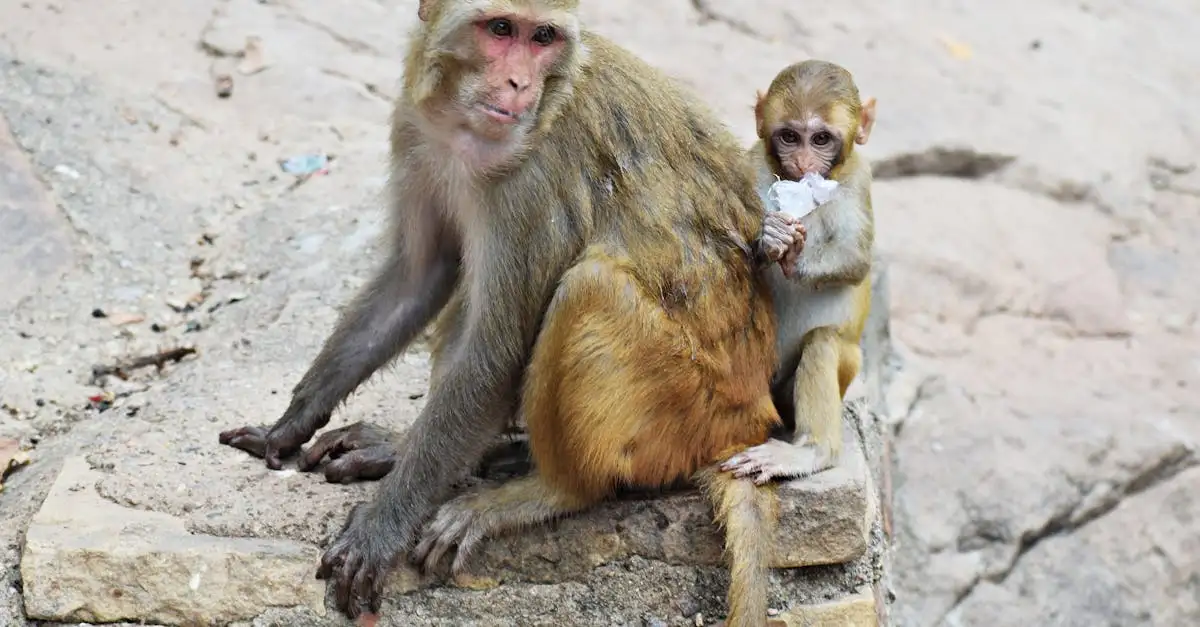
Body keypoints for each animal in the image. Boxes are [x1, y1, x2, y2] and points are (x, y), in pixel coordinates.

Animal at [218, 1, 785, 624]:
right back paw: (433, 451)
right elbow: (420, 273)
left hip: (685, 405)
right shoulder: (414, 128)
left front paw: (380, 527)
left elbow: (495, 357)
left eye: (543, 37)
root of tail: (745, 424)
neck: (464, 132)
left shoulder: (532, 182)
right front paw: (289, 423)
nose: (518, 84)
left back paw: (545, 491)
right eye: (500, 29)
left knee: (587, 287)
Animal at [720, 60, 877, 485]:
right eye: (789, 136)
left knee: (823, 341)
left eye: (821, 139)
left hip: (842, 375)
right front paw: (769, 238)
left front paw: (795, 255)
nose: (804, 165)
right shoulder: (752, 164)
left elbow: (857, 260)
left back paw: (810, 452)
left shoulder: (859, 178)